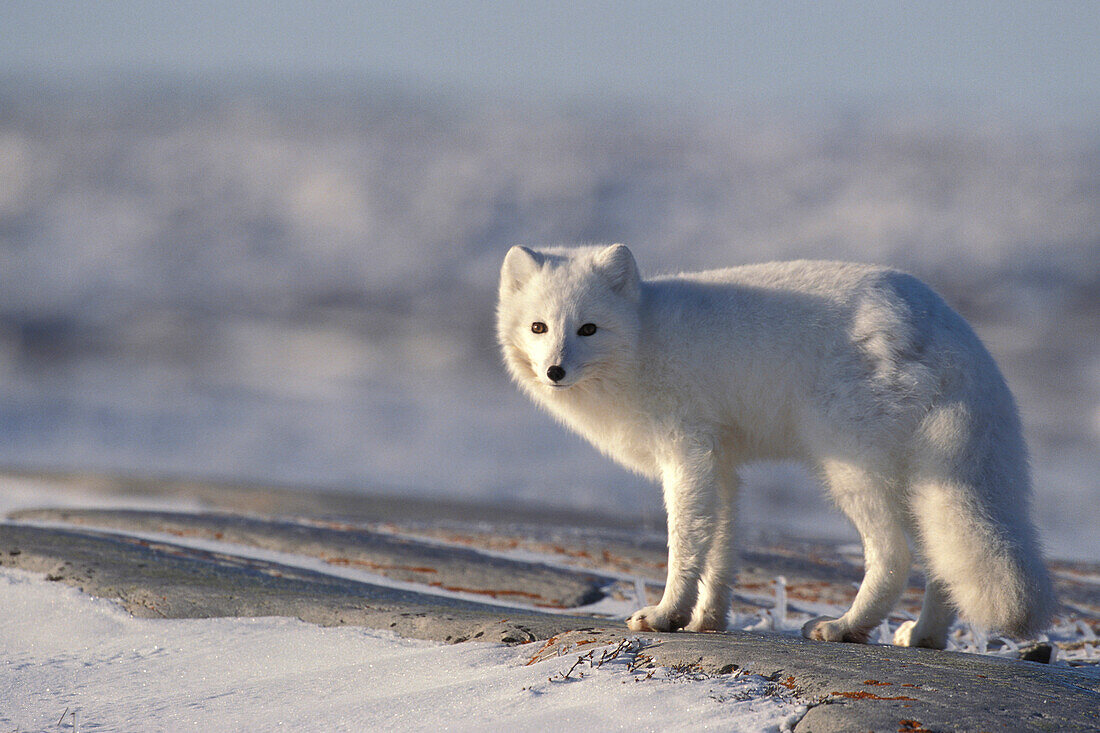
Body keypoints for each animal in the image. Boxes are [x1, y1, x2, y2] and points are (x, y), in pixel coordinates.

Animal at [501, 244, 1056, 647]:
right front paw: (707, 621)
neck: (643, 340)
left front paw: (664, 616)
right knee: (940, 562)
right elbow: (722, 549)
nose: (555, 371)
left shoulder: (686, 455)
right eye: (538, 327)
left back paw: (844, 627)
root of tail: (946, 326)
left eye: (588, 328)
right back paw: (923, 637)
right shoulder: (720, 463)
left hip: (850, 469)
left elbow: (686, 542)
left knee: (895, 558)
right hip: (919, 483)